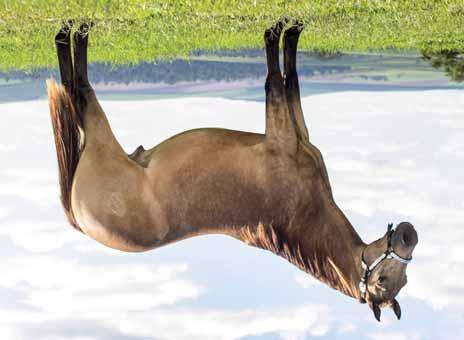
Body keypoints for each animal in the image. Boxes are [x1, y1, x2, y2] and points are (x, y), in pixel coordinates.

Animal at [47, 19, 416, 322]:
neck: (304, 210)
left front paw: (278, 32)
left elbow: (275, 81)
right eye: (388, 278)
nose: (408, 234)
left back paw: (72, 34)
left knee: (79, 92)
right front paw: (289, 30)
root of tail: (78, 222)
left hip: (99, 138)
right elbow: (288, 79)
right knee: (75, 89)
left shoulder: (283, 133)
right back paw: (73, 32)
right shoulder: (293, 131)